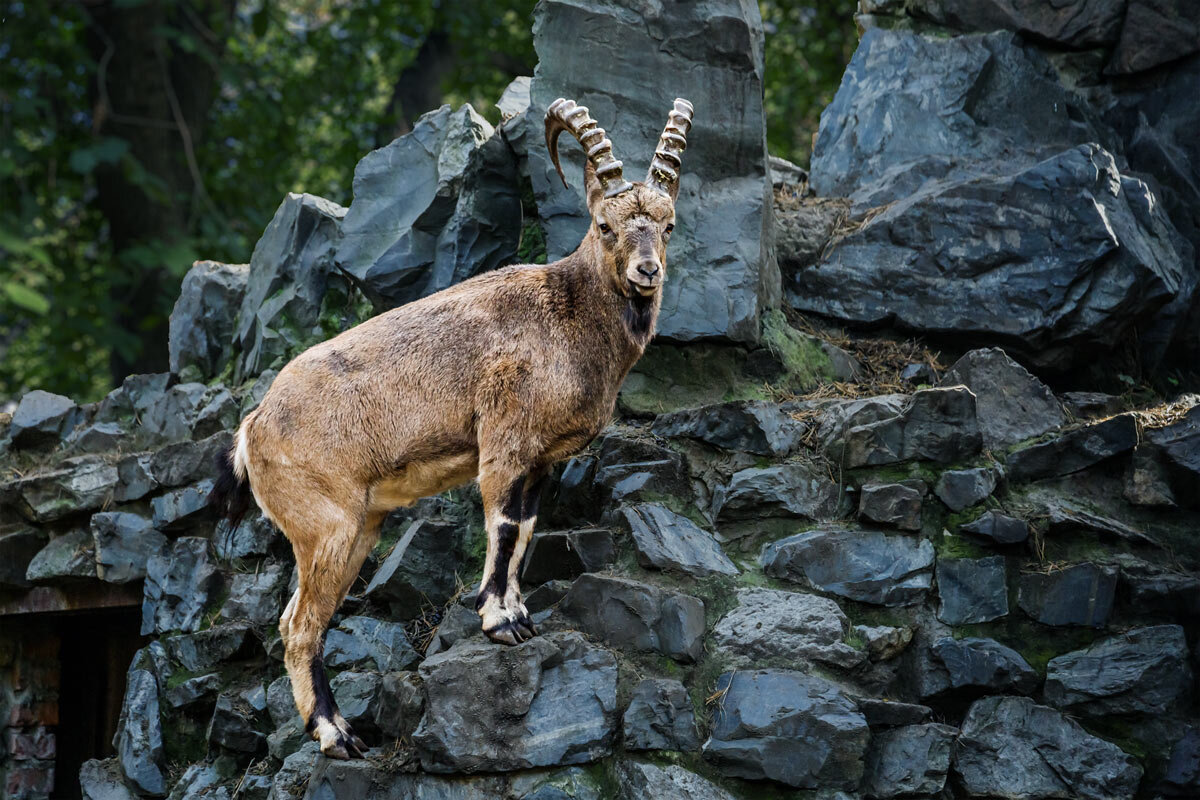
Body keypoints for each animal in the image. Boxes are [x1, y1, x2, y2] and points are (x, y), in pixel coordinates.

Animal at [211, 97, 691, 762]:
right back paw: (336, 735)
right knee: (299, 626)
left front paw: (519, 612)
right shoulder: (504, 442)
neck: (567, 314)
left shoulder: (540, 462)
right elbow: (503, 525)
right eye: (605, 226)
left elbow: (527, 530)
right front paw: (498, 622)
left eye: (667, 226)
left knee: (303, 620)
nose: (647, 273)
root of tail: (254, 427)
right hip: (324, 526)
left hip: (358, 527)